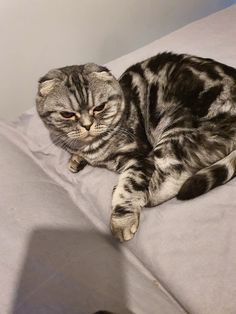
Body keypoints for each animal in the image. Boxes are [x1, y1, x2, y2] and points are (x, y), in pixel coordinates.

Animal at [35, 52, 236, 242]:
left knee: (176, 177)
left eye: (99, 108)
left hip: (172, 133)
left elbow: (129, 186)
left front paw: (121, 221)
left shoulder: (142, 157)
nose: (87, 125)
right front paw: (76, 159)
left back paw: (139, 194)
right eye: (67, 115)